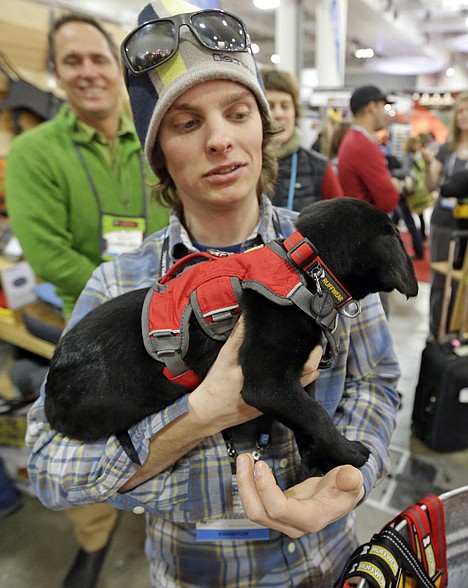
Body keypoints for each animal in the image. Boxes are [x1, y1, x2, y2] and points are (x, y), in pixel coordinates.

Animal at [44, 198, 416, 474]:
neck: (306, 272)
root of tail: (49, 387)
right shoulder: (268, 385)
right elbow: (317, 416)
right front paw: (350, 452)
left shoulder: (296, 381)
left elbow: (306, 416)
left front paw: (318, 459)